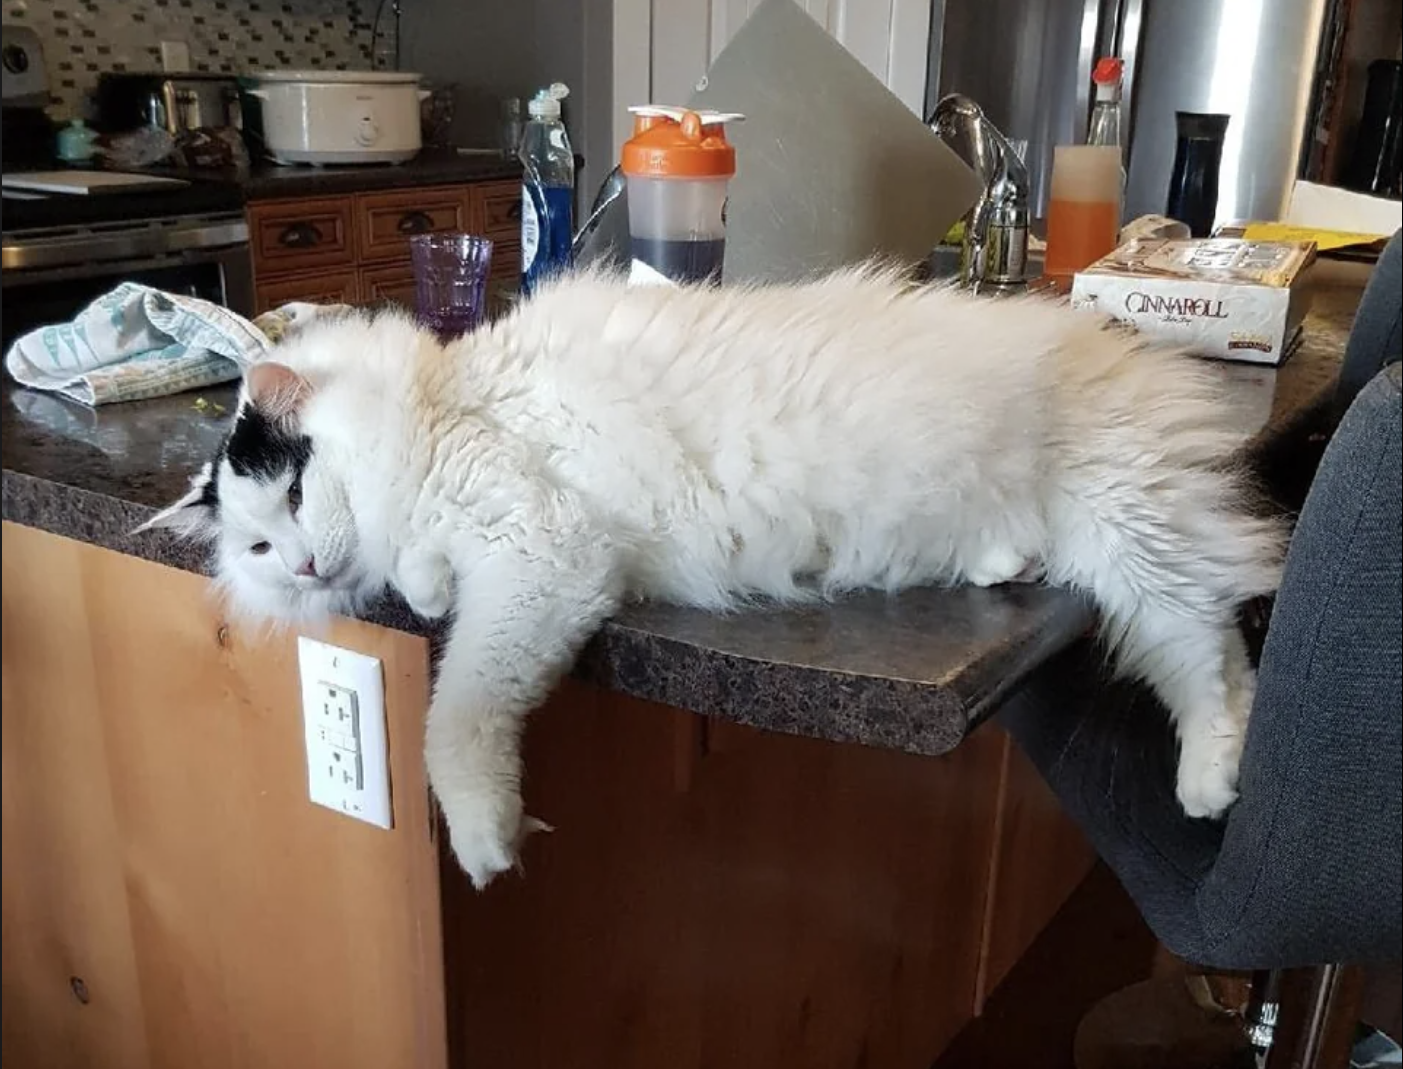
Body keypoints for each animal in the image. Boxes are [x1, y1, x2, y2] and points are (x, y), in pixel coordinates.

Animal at [148, 265, 1285, 881]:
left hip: (1134, 537)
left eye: (295, 495)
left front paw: (485, 838)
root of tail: (1119, 342)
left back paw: (1212, 788)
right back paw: (1002, 560)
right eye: (258, 549)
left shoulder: (539, 553)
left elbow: (456, 717)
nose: (301, 561)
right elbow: (434, 589)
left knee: (1218, 663)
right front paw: (421, 584)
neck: (445, 404)